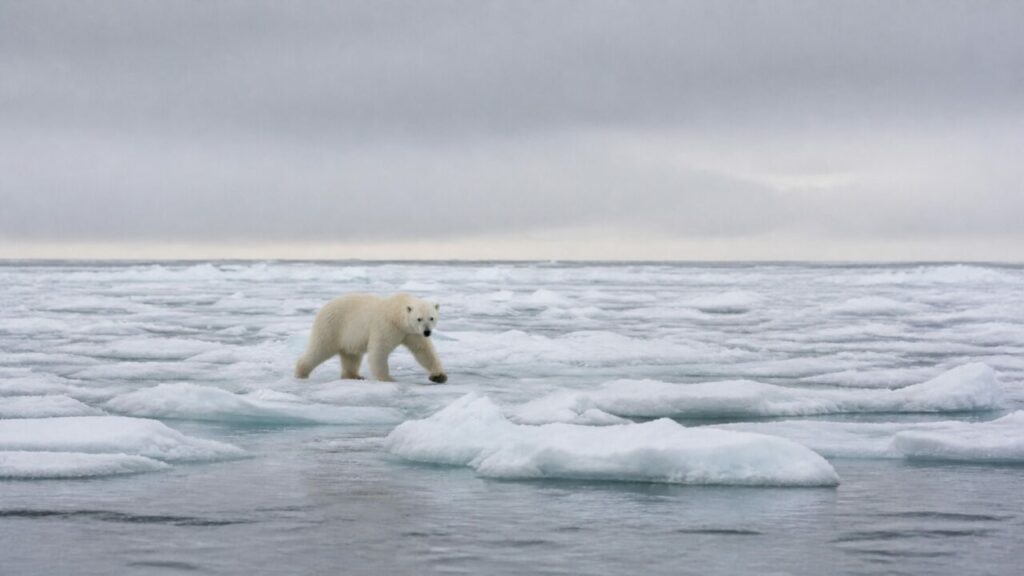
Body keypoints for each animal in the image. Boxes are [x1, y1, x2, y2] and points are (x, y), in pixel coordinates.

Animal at [295, 293, 447, 384]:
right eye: (419, 318)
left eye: (431, 318)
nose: (427, 332)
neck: (396, 314)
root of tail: (323, 308)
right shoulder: (386, 326)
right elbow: (379, 351)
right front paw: (388, 378)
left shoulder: (412, 333)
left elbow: (423, 351)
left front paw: (439, 376)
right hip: (332, 327)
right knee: (319, 349)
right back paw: (301, 373)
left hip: (348, 337)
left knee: (352, 356)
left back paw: (354, 376)